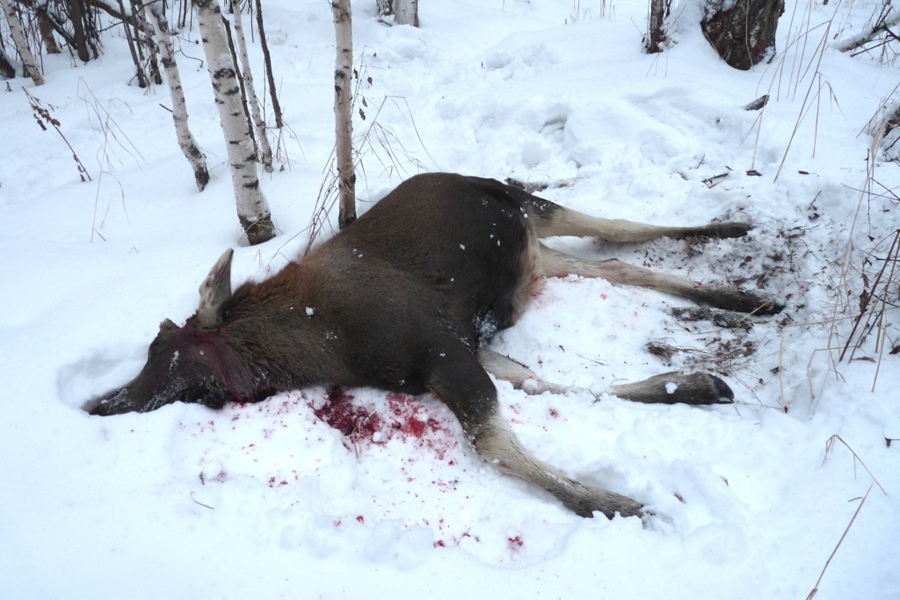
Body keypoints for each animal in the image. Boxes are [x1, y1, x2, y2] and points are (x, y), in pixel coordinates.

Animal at [88, 172, 784, 520]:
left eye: (165, 350)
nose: (100, 403)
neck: (319, 344)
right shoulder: (464, 352)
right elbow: (552, 385)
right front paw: (693, 386)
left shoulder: (444, 351)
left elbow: (494, 443)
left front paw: (608, 502)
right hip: (537, 258)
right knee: (615, 263)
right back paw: (744, 298)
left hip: (525, 203)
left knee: (617, 225)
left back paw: (733, 231)